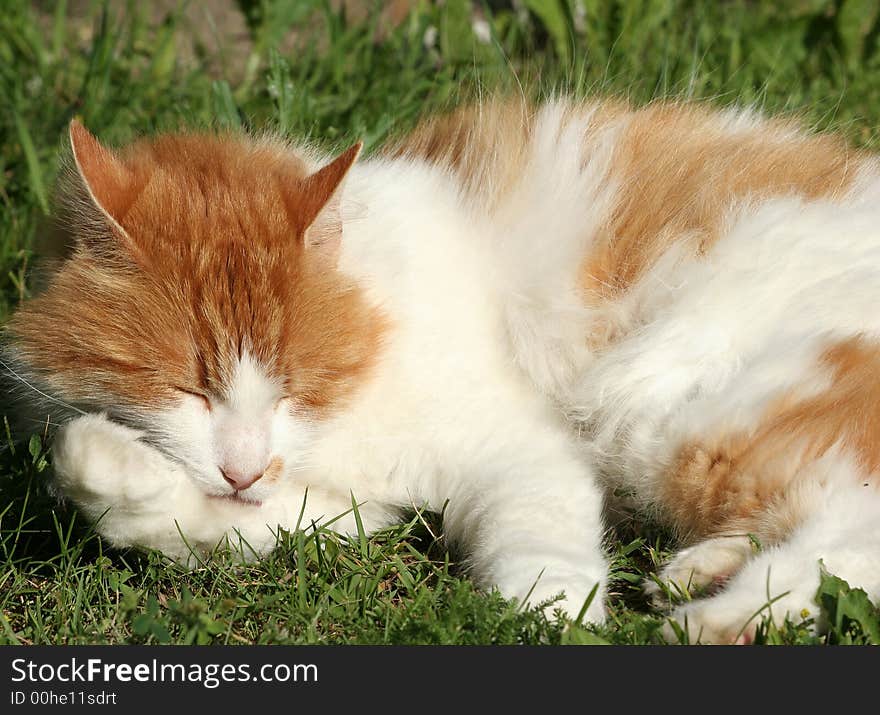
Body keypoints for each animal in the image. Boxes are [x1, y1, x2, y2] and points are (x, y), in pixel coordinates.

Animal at [5, 96, 880, 644]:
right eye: (190, 388)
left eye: (293, 386)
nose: (244, 465)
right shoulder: (342, 504)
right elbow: (194, 522)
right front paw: (102, 472)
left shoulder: (522, 446)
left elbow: (540, 541)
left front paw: (549, 615)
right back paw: (705, 571)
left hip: (670, 408)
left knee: (846, 530)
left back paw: (723, 618)